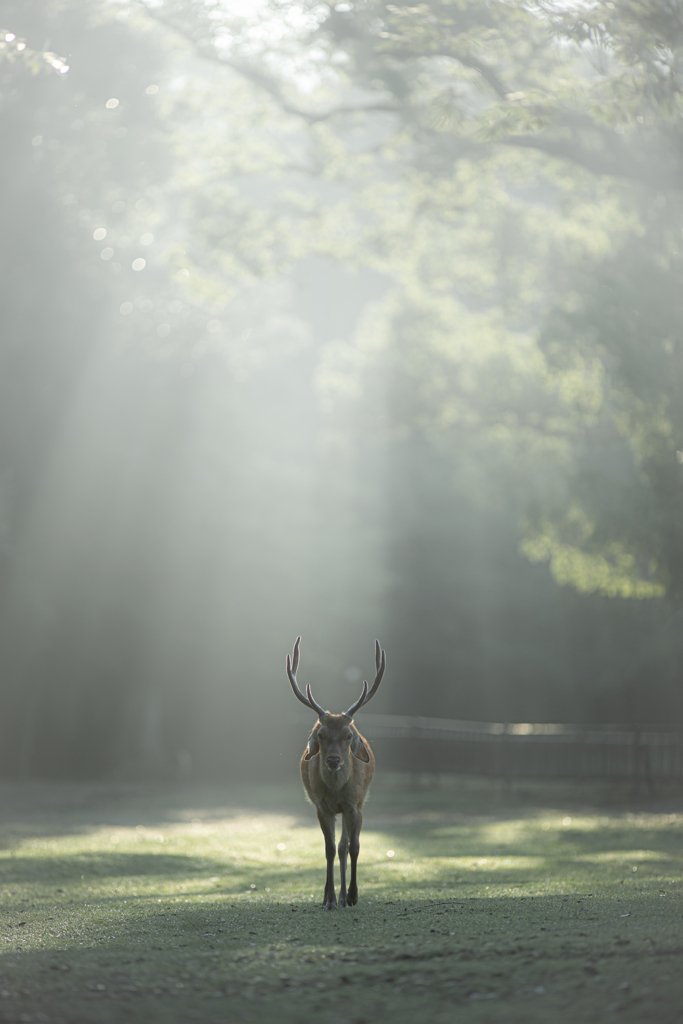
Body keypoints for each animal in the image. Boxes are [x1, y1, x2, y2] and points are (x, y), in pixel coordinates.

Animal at [286, 634, 387, 909]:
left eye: (348, 735)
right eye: (320, 735)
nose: (332, 760)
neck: (336, 792)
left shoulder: (355, 805)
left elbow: (353, 847)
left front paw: (351, 895)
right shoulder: (323, 808)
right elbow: (329, 849)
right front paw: (330, 899)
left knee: (345, 846)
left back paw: (344, 897)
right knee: (336, 848)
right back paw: (332, 897)